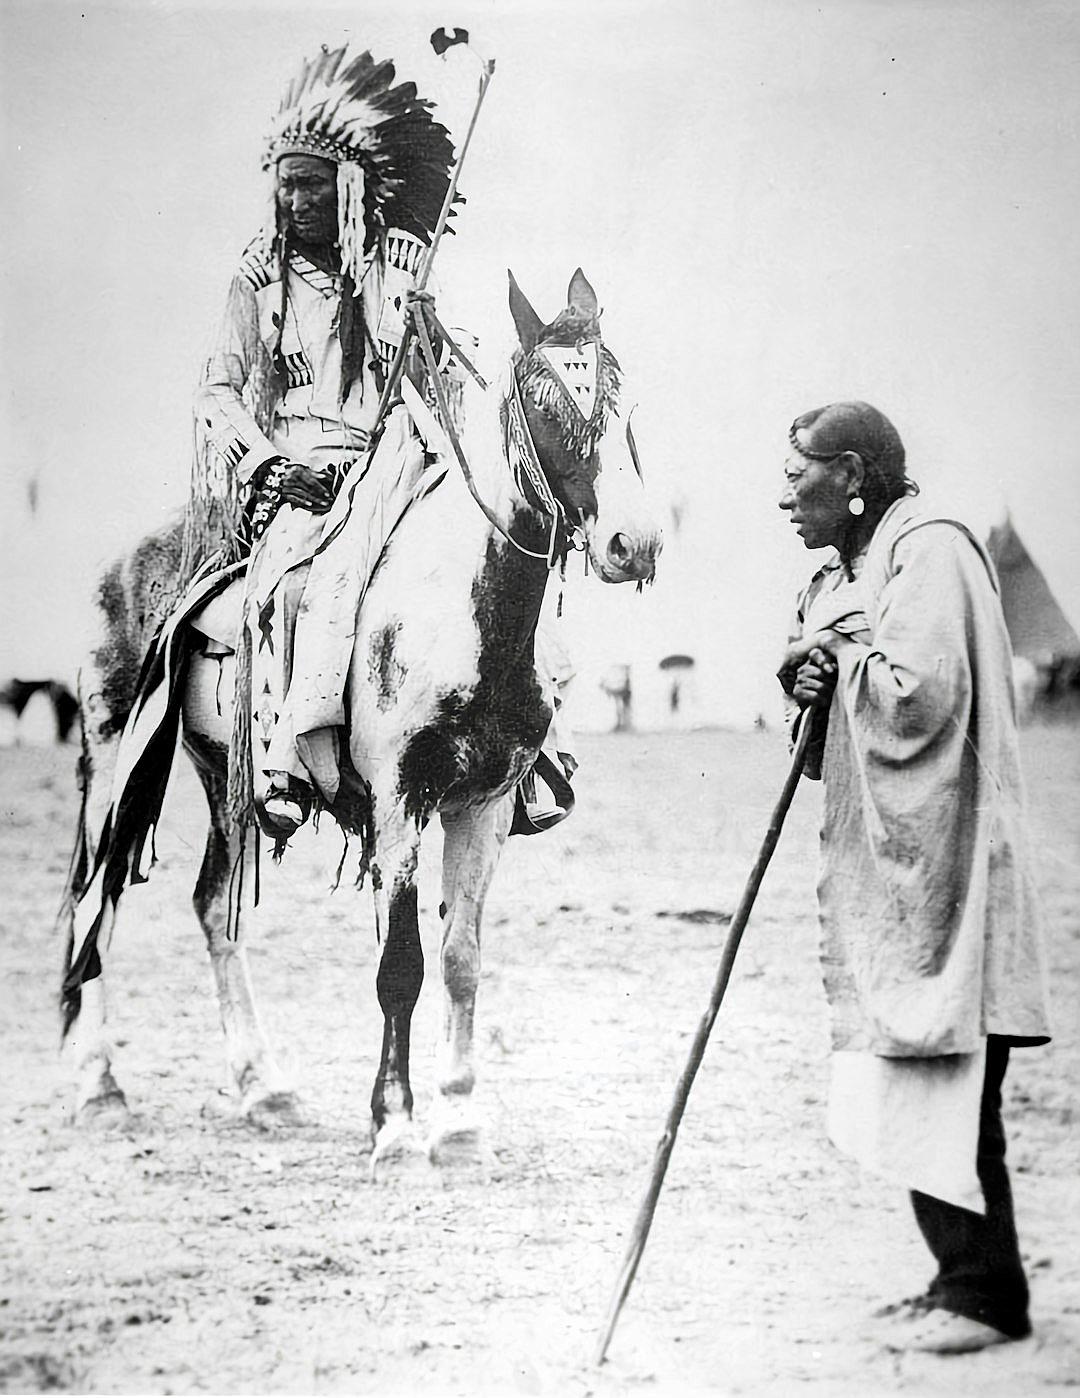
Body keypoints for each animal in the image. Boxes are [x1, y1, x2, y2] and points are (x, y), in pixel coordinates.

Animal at [65, 272, 665, 1168]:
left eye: (623, 396)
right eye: (545, 398)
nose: (636, 543)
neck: (466, 613)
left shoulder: (483, 806)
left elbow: (460, 959)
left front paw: (460, 1121)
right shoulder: (400, 803)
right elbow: (401, 967)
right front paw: (395, 1123)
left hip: (221, 776)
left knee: (211, 906)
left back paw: (264, 1087)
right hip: (112, 762)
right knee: (91, 902)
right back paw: (98, 1086)